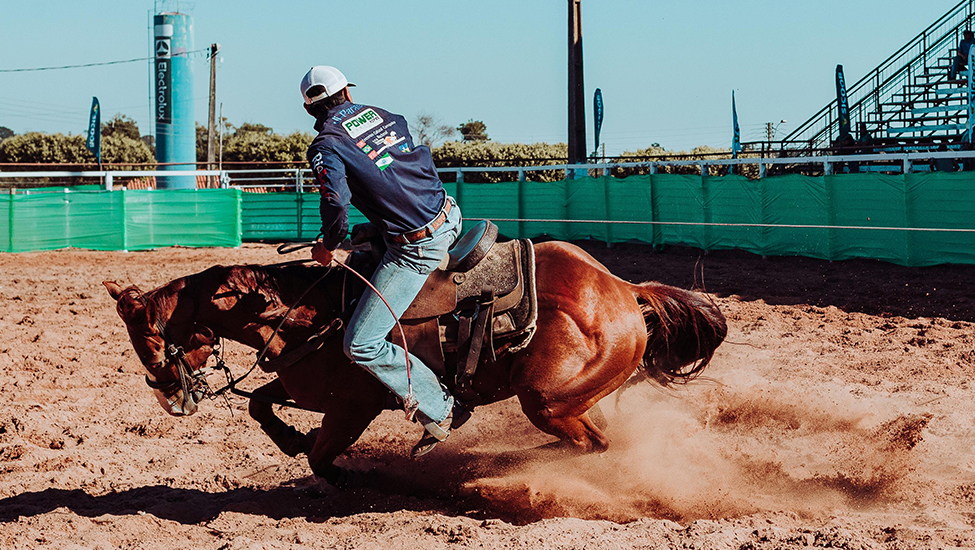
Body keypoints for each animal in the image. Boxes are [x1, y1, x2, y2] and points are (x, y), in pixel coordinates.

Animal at [103, 240, 727, 487]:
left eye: (151, 341)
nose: (171, 399)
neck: (307, 310)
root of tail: (623, 290)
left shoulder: (351, 408)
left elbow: (323, 456)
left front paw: (342, 472)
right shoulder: (309, 388)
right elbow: (260, 402)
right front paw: (291, 441)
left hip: (547, 400)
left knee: (593, 444)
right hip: (563, 402)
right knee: (595, 441)